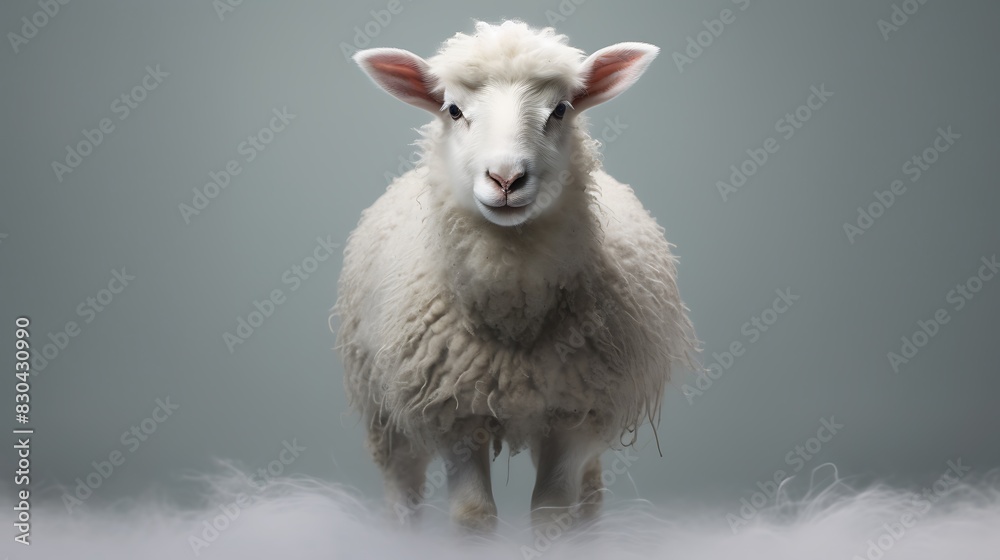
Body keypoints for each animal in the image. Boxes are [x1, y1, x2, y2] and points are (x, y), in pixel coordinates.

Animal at [334, 20, 698, 533]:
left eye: (561, 109)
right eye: (453, 109)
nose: (505, 179)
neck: (513, 320)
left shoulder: (574, 414)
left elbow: (551, 515)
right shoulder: (453, 411)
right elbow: (473, 516)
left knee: (590, 494)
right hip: (383, 410)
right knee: (401, 486)